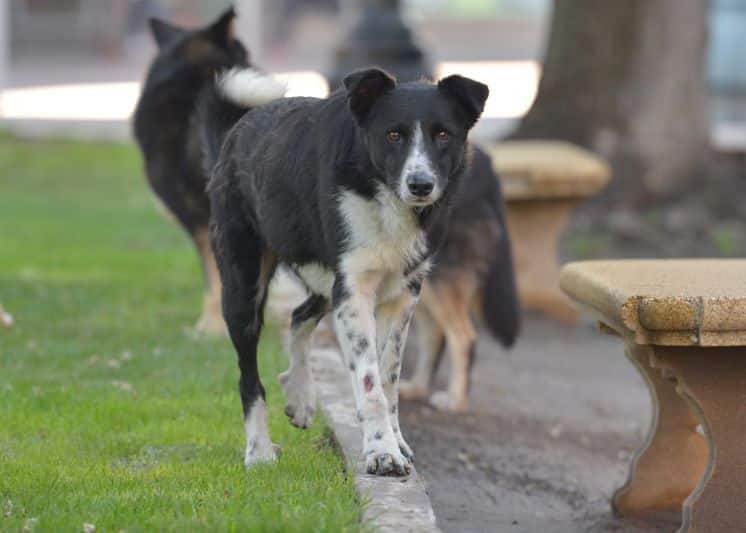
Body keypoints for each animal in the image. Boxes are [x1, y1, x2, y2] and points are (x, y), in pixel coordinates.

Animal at [202, 65, 488, 474]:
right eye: (393, 135)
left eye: (444, 134)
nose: (420, 185)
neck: (380, 190)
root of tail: (235, 133)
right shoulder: (354, 292)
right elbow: (370, 383)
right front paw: (382, 452)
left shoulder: (401, 295)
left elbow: (388, 377)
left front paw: (395, 443)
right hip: (244, 288)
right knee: (249, 377)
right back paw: (259, 451)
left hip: (324, 280)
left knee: (299, 315)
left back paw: (300, 395)